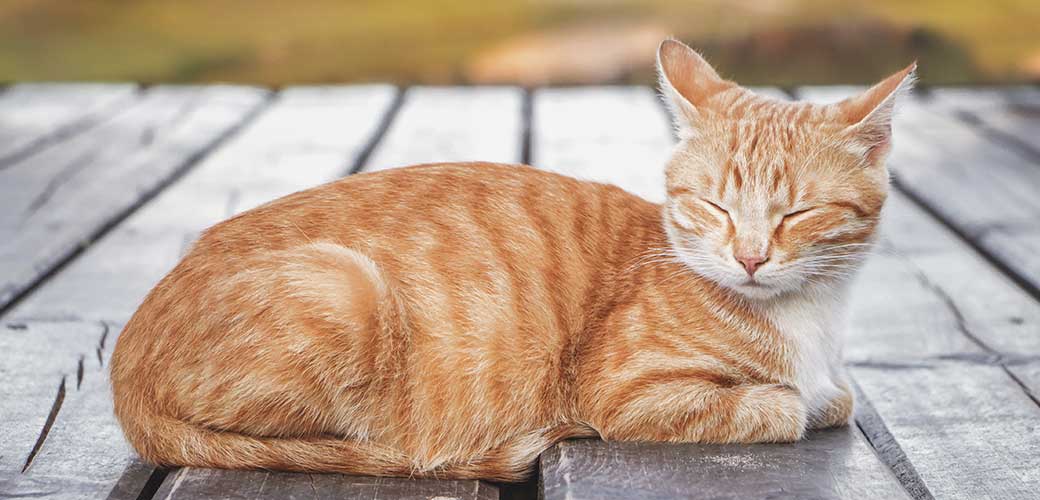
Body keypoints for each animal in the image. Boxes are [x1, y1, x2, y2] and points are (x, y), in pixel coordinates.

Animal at [109, 37, 915, 480]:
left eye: (797, 214)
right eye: (713, 206)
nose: (748, 259)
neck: (810, 319)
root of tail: (126, 360)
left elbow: (834, 397)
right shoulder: (625, 394)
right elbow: (783, 405)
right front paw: (792, 396)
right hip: (345, 290)